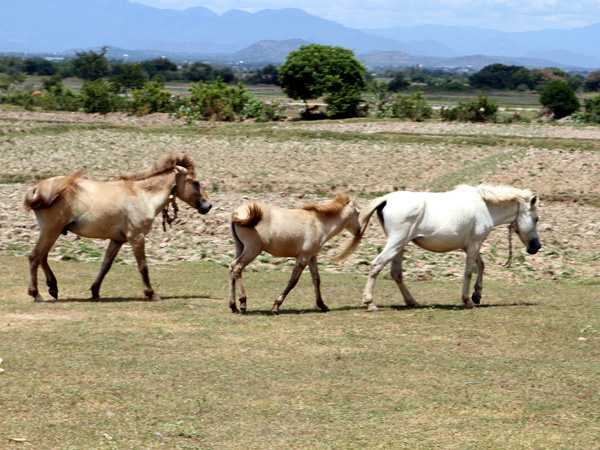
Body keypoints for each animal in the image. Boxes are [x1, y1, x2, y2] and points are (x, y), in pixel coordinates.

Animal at [24, 151, 212, 302]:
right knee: (35, 257)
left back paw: (53, 288)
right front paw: (151, 294)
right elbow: (143, 266)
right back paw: (37, 294)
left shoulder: (117, 240)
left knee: (42, 257)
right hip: (51, 230)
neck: (143, 196)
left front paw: (95, 292)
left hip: (52, 232)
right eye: (195, 182)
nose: (207, 206)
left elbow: (106, 265)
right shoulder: (136, 237)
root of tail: (37, 188)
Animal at [229, 193, 360, 312]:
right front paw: (276, 306)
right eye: (358, 213)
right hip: (252, 249)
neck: (319, 224)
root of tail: (237, 212)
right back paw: (243, 303)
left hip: (240, 246)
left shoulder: (312, 256)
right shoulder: (303, 257)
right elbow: (293, 281)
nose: (359, 230)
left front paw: (322, 305)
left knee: (232, 267)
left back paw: (233, 306)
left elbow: (316, 279)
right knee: (238, 267)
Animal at [354, 184, 540, 310]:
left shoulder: (469, 246)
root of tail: (386, 199)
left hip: (400, 246)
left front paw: (477, 295)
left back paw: (412, 302)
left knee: (396, 273)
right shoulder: (474, 244)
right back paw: (370, 303)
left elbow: (481, 265)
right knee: (377, 265)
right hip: (396, 243)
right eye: (536, 218)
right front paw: (467, 300)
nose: (536, 247)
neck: (484, 206)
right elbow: (469, 271)